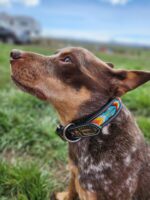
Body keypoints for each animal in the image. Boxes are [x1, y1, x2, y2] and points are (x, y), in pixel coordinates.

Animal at [10, 47, 150, 199]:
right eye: (55, 53)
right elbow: (71, 191)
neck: (98, 124)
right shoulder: (73, 173)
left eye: (67, 59)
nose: (13, 53)